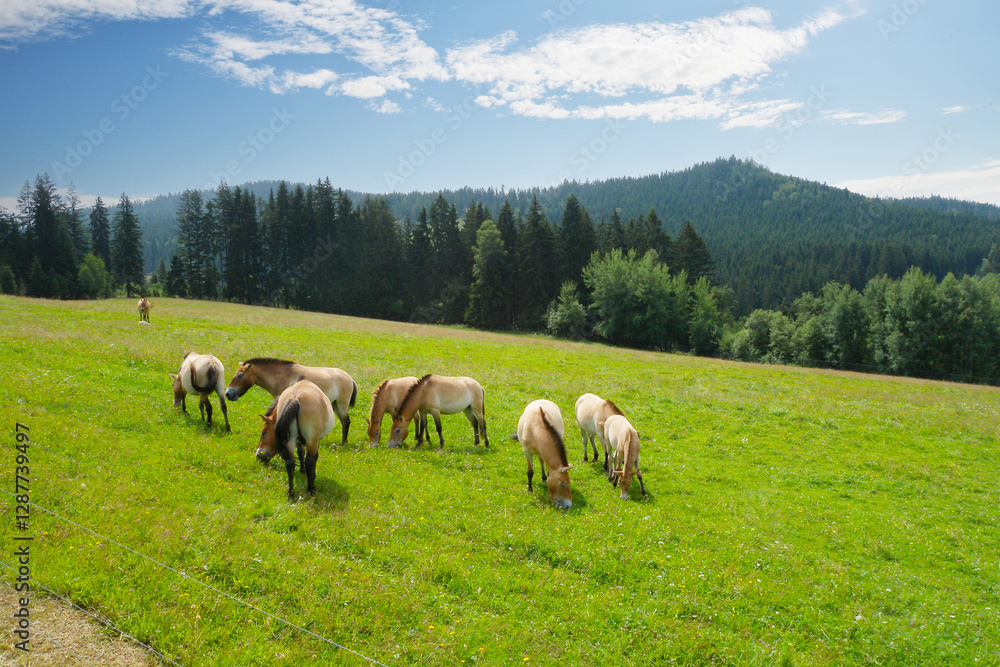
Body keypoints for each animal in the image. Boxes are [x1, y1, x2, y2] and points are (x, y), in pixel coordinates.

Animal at [225, 358, 357, 445]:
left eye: (240, 375)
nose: (228, 393)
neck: (281, 376)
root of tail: (350, 379)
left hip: (341, 405)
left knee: (346, 421)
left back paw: (343, 443)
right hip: (335, 406)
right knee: (344, 422)